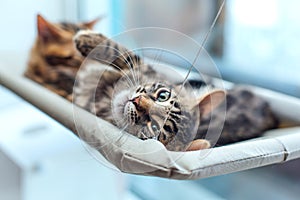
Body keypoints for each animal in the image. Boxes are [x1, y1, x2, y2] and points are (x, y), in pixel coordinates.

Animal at [71, 30, 278, 151]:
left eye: (155, 127)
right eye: (163, 95)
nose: (136, 101)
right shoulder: (143, 68)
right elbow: (122, 53)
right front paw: (88, 39)